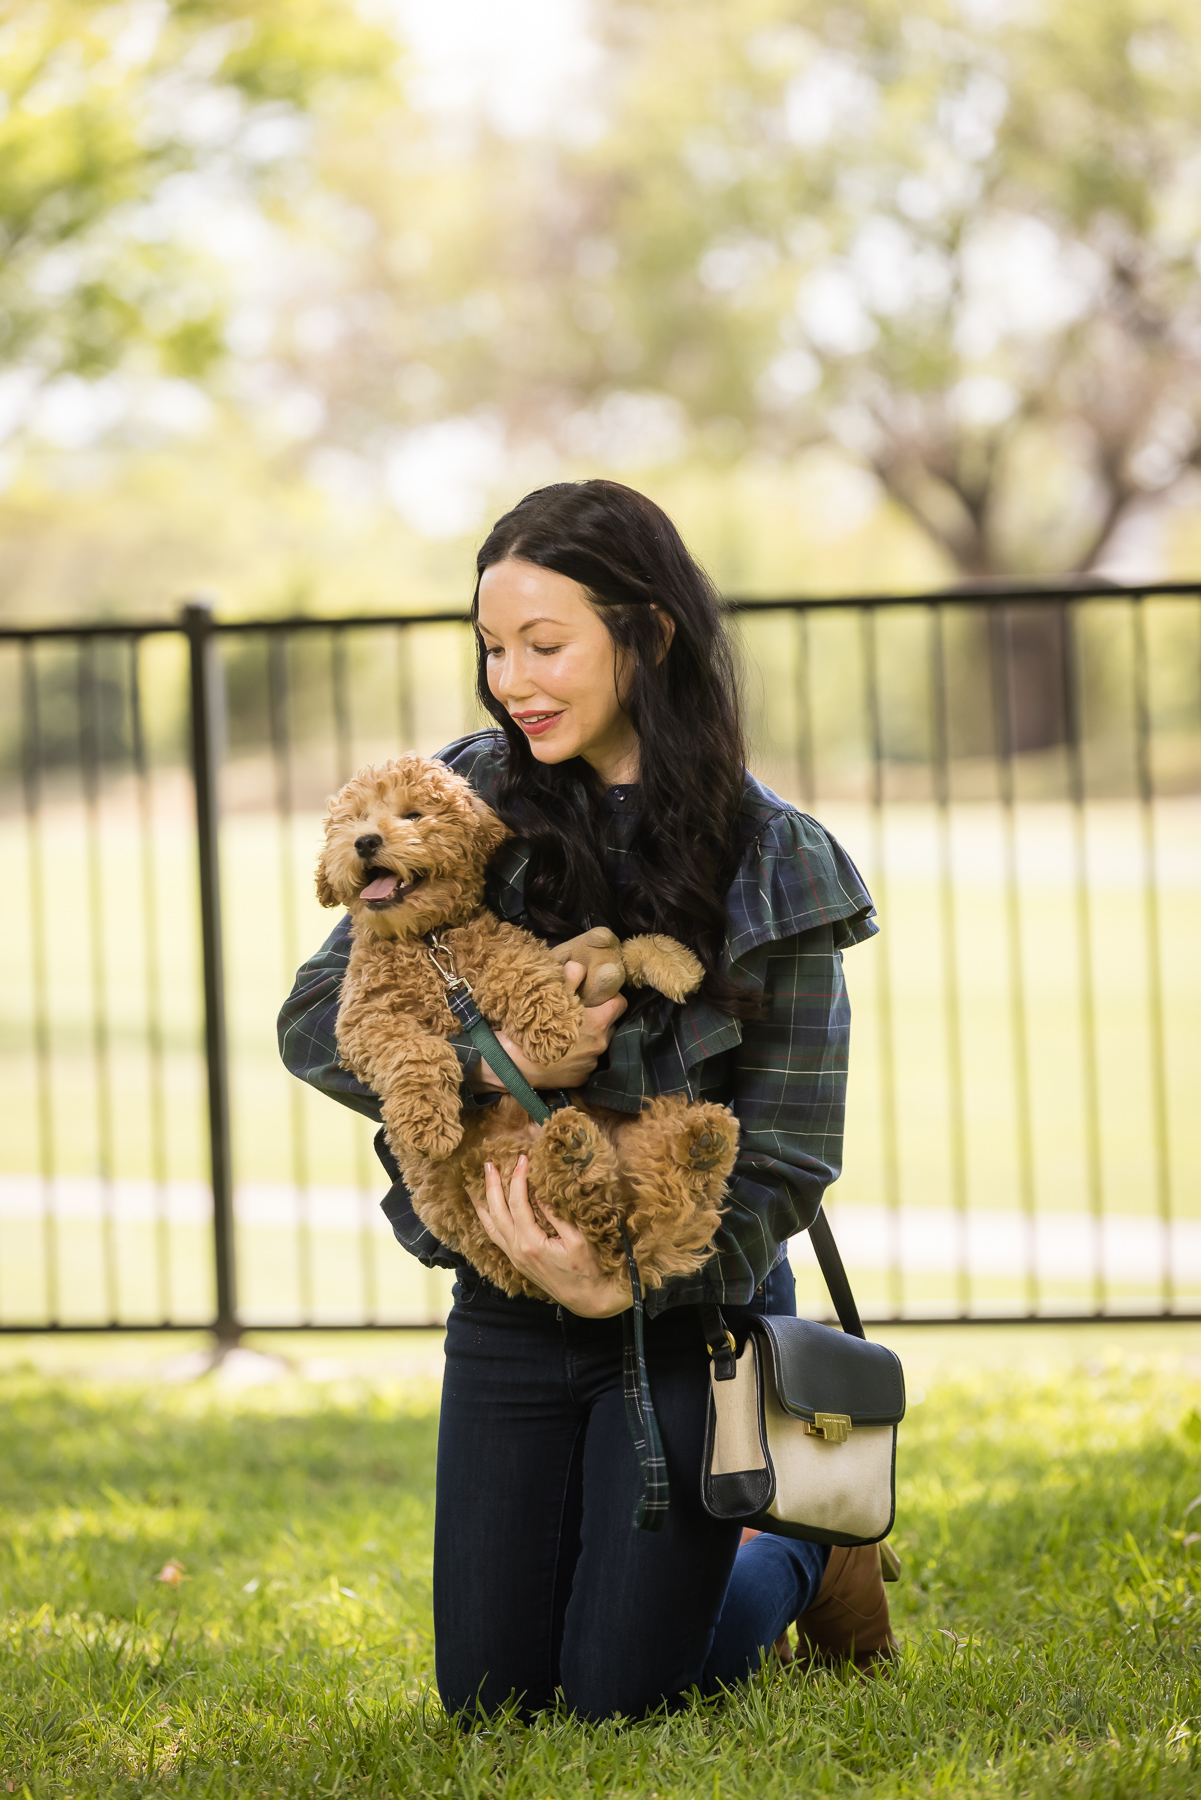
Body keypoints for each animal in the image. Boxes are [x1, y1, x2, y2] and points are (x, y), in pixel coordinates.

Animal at [315, 752, 738, 1303]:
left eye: (412, 815)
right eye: (356, 819)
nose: (365, 842)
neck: (431, 943)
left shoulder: (518, 953)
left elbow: (548, 962)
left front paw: (667, 966)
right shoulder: (366, 1023)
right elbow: (417, 1050)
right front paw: (426, 1123)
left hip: (633, 1141)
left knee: (649, 1200)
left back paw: (697, 1143)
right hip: (504, 1173)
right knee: (595, 1212)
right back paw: (580, 1156)